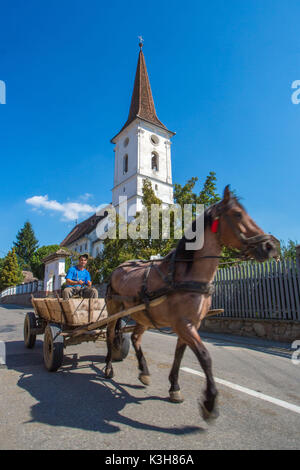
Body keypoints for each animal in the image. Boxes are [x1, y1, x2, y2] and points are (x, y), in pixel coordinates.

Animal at [103, 185, 278, 420]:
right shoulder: (183, 324)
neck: (188, 275)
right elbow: (205, 357)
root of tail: (119, 268)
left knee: (136, 338)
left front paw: (174, 387)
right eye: (237, 214)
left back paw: (144, 371)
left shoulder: (190, 324)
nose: (270, 246)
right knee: (110, 334)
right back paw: (108, 367)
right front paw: (210, 401)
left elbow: (180, 355)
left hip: (143, 315)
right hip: (114, 309)